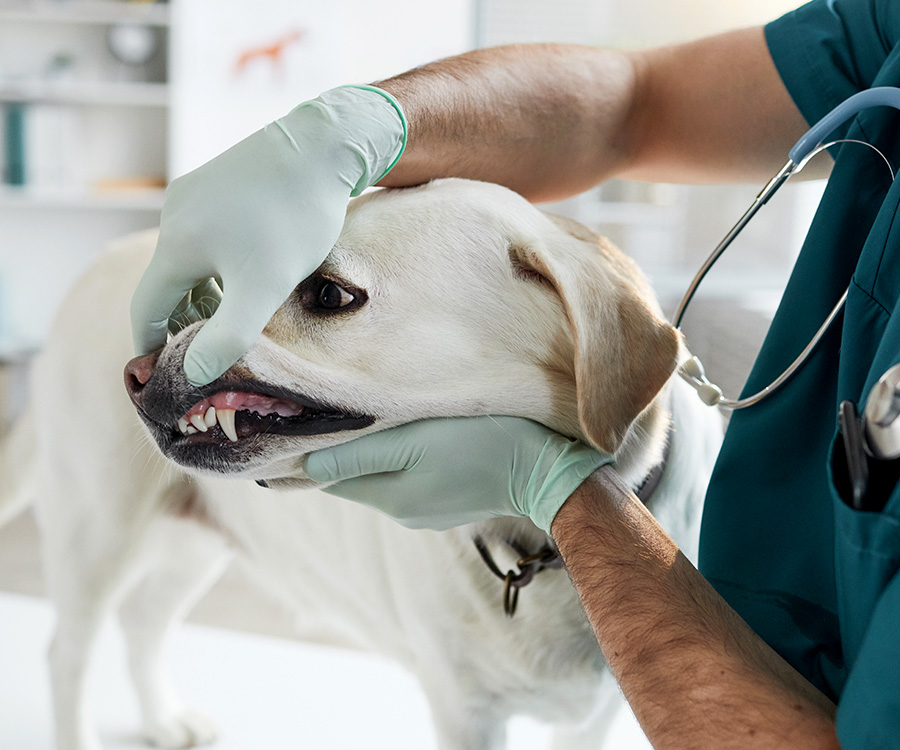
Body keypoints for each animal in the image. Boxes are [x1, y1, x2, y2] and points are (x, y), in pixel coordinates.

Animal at [0, 179, 720, 748]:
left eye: (328, 294)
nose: (136, 373)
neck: (543, 551)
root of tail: (99, 261)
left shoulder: (595, 720)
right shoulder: (465, 712)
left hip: (195, 542)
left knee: (143, 623)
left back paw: (162, 720)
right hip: (98, 535)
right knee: (67, 654)